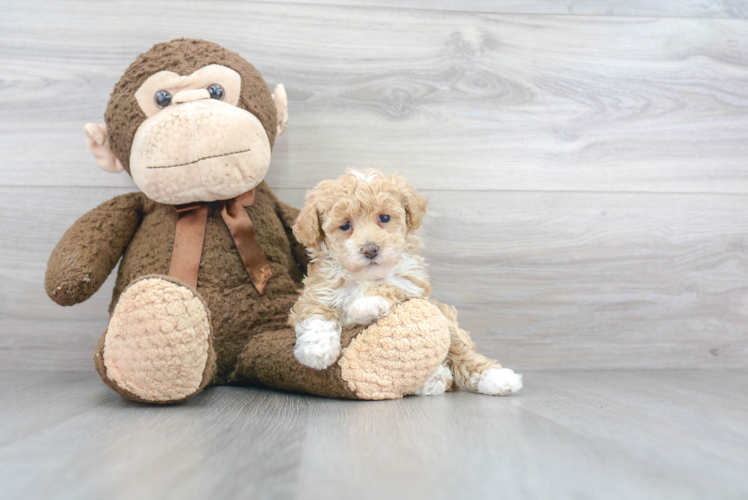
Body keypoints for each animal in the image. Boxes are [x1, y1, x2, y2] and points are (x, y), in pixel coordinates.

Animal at [290, 170, 524, 396]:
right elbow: (317, 315)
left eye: (384, 217)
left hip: (447, 323)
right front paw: (316, 351)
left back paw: (496, 379)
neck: (367, 276)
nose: (370, 249)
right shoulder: (320, 290)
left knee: (462, 354)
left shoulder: (411, 286)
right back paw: (434, 380)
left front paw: (366, 305)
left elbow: (391, 287)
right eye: (345, 225)